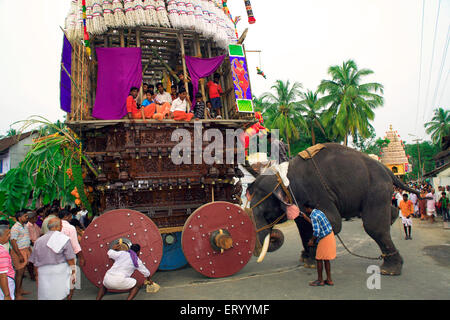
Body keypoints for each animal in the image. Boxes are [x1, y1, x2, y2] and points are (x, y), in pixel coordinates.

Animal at [248, 142, 420, 276]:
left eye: (263, 212)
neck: (283, 177)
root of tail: (388, 170)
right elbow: (303, 227)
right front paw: (308, 260)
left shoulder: (317, 191)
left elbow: (334, 223)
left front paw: (311, 259)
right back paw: (392, 220)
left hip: (376, 188)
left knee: (373, 226)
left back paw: (389, 270)